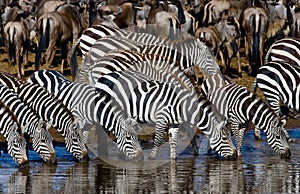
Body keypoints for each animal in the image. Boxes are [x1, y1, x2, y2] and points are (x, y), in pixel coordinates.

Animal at [94, 69, 237, 160]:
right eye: (225, 138)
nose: (235, 156)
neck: (182, 105)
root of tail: (103, 77)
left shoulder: (174, 123)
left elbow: (173, 142)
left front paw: (173, 160)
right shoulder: (161, 119)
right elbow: (158, 140)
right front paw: (151, 158)